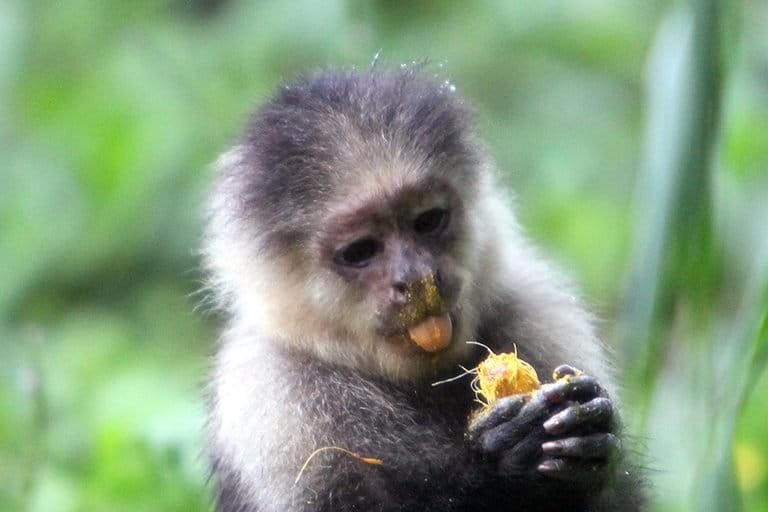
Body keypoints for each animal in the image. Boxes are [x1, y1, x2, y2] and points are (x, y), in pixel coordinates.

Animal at [201, 66, 644, 510]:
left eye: (428, 221)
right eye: (361, 251)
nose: (417, 279)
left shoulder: (539, 310)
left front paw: (588, 437)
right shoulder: (271, 394)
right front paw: (504, 462)